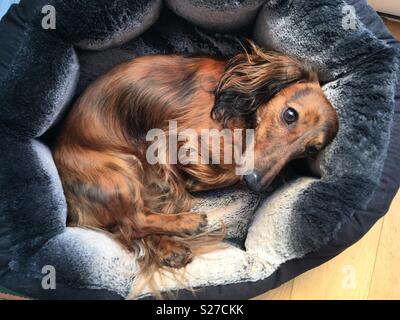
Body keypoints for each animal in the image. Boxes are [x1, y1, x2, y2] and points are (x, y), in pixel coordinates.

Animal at [52, 40, 338, 270]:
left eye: (312, 149)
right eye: (290, 114)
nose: (256, 183)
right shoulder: (174, 138)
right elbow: (223, 169)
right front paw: (195, 181)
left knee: (129, 226)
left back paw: (170, 249)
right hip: (121, 170)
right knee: (135, 221)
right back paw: (187, 223)